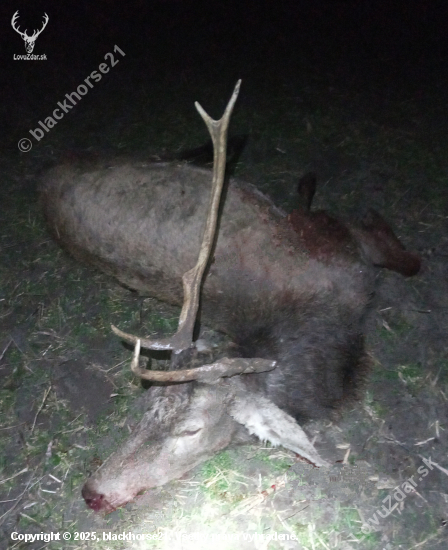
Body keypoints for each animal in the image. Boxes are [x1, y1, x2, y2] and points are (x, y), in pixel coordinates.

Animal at [40, 81, 420, 513]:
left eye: (191, 430)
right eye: (148, 410)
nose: (93, 492)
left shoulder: (342, 244)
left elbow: (402, 254)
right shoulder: (337, 238)